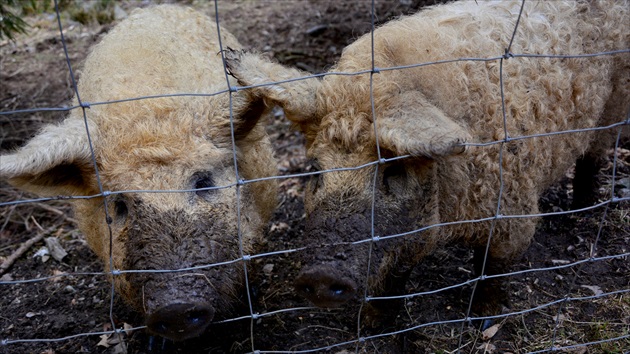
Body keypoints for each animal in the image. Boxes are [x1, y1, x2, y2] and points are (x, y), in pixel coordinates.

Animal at [225, 0, 628, 324]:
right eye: (315, 169)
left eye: (393, 170)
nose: (321, 275)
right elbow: (394, 275)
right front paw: (376, 324)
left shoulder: (513, 209)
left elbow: (494, 268)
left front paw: (483, 320)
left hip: (614, 104)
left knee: (594, 155)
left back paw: (581, 210)